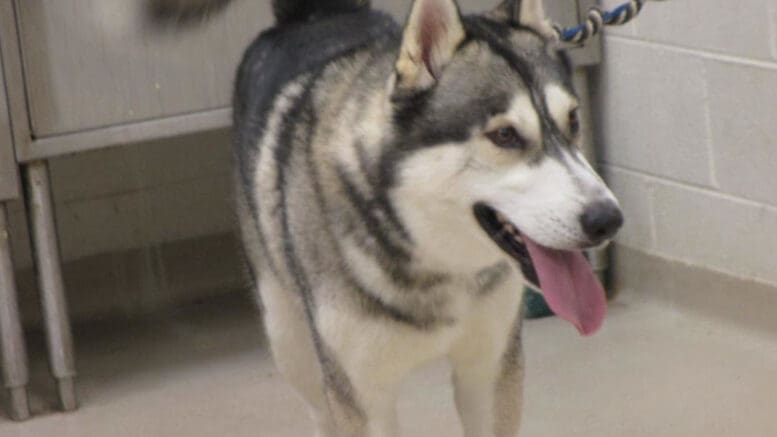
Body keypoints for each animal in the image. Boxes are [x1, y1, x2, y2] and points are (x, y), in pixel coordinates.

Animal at [161, 0, 620, 434]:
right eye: (504, 135)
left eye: (573, 119)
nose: (608, 219)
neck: (435, 259)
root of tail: (314, 15)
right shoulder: (360, 395)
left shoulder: (490, 369)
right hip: (288, 339)